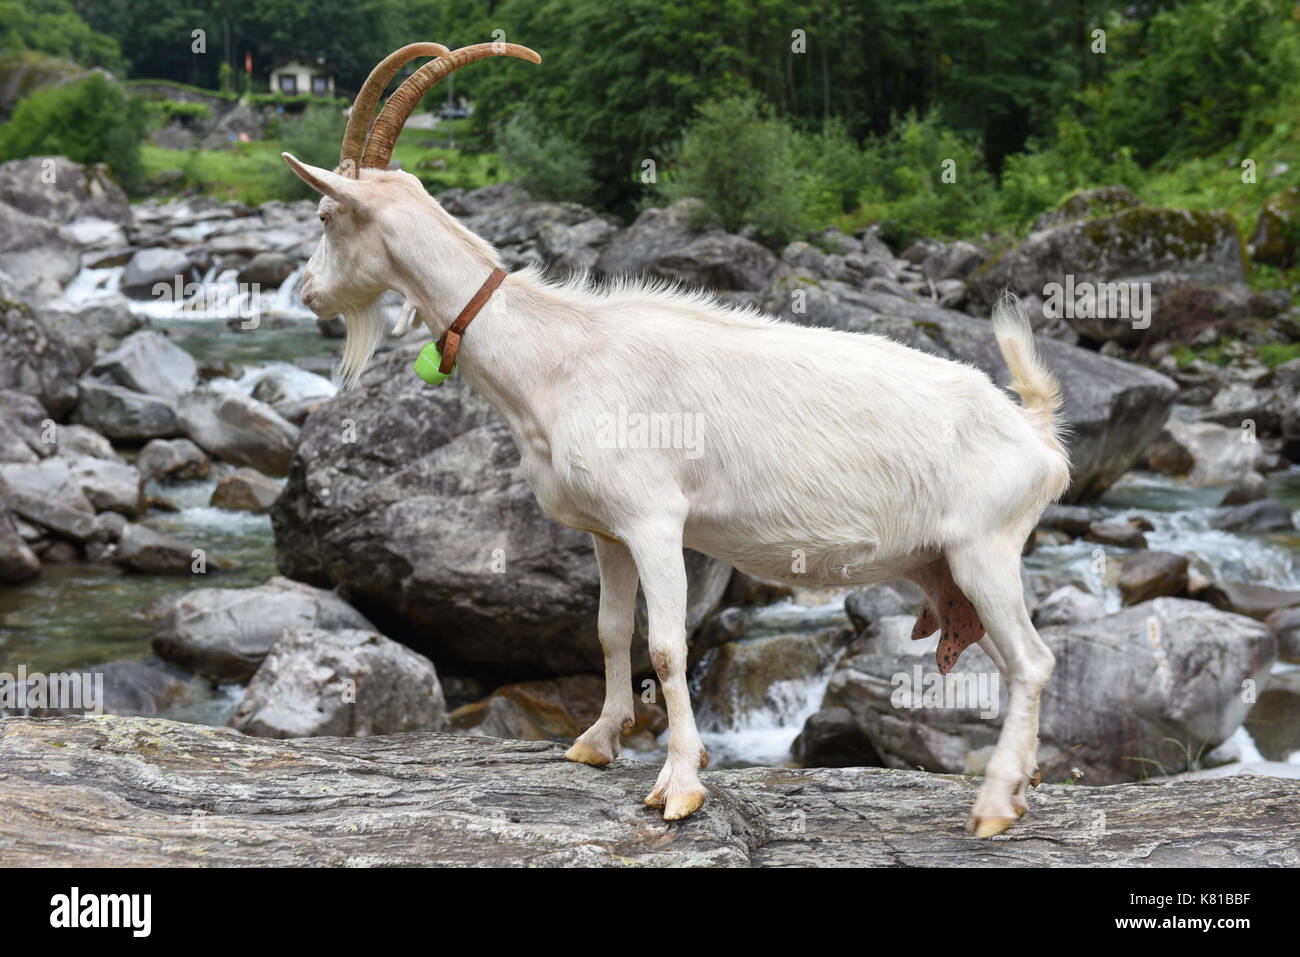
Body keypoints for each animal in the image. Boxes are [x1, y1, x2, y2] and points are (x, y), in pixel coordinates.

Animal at [289, 42, 1071, 837]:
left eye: (325, 213)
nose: (306, 292)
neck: (557, 355)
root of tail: (1037, 436)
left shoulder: (655, 521)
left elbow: (666, 648)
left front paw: (680, 785)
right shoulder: (608, 531)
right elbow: (609, 630)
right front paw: (598, 740)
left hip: (985, 547)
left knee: (1034, 661)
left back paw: (993, 805)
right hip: (954, 563)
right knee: (1017, 662)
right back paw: (1019, 788)